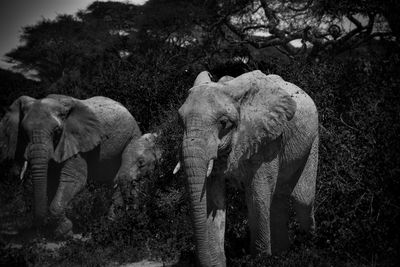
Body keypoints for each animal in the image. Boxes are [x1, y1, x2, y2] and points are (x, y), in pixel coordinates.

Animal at [0, 95, 159, 238]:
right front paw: (58, 230)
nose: (38, 231)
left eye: (57, 131)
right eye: (24, 132)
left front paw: (65, 233)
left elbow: (74, 180)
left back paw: (111, 223)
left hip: (132, 136)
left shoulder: (76, 143)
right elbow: (50, 182)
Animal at [175, 70, 318, 266]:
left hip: (313, 138)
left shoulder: (267, 140)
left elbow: (257, 197)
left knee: (302, 199)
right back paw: (282, 254)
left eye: (224, 123)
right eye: (180, 121)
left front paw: (261, 260)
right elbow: (213, 200)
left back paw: (309, 248)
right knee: (278, 199)